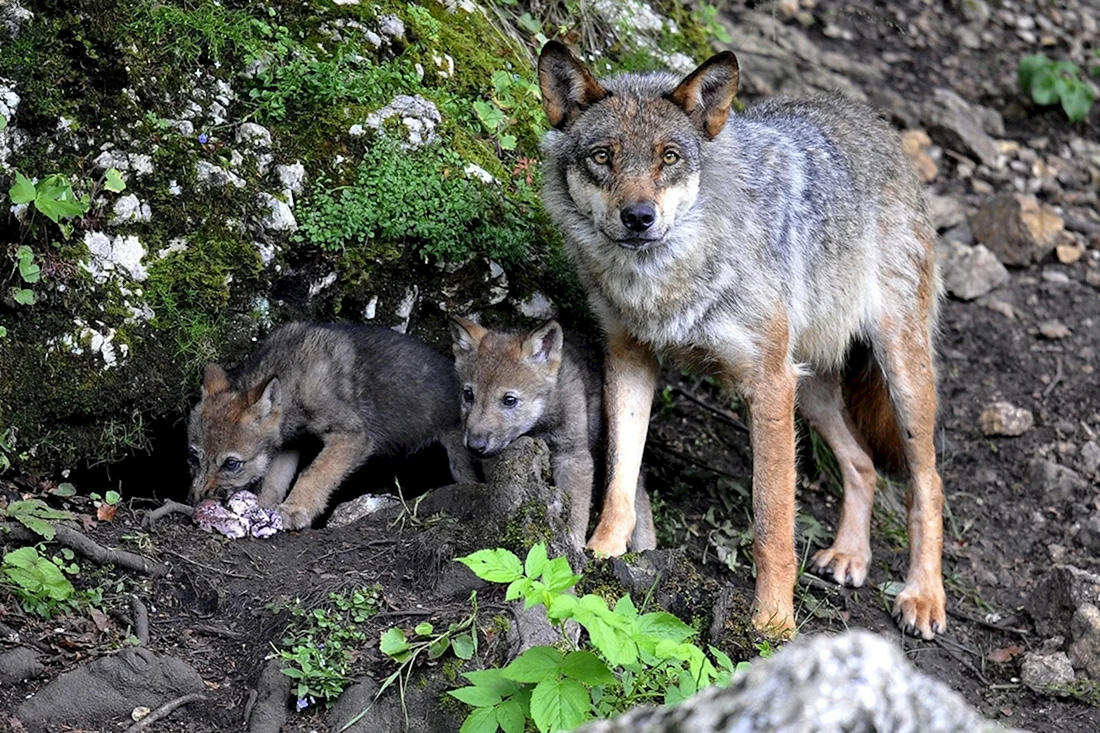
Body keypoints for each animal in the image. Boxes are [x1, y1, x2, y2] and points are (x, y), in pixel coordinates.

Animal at [188, 323, 477, 528]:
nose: (197, 498)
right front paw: (262, 509)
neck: (292, 378)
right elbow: (272, 483)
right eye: (193, 457)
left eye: (231, 464)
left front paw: (295, 510)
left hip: (459, 459)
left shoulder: (352, 436)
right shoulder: (288, 446)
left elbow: (312, 474)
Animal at [451, 314, 655, 548]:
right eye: (468, 395)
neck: (538, 428)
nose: (475, 445)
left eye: (509, 400)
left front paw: (574, 544)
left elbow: (576, 509)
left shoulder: (573, 456)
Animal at [539, 39, 946, 638]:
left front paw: (773, 624)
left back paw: (923, 596)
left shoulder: (767, 386)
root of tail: (871, 120)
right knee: (863, 465)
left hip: (898, 377)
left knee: (927, 482)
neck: (664, 281)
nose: (638, 217)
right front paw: (601, 555)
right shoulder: (630, 358)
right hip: (811, 391)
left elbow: (772, 526)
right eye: (602, 156)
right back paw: (851, 555)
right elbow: (620, 478)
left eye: (669, 157)